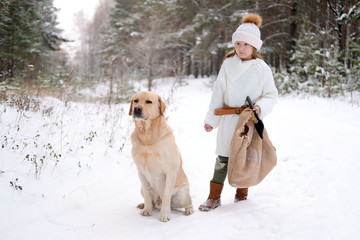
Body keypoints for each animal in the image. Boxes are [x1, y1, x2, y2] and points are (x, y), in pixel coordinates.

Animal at [128, 91, 193, 221]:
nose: (136, 109)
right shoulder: (141, 172)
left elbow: (167, 195)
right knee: (150, 198)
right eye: (136, 100)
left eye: (148, 101)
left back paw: (188, 210)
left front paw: (165, 214)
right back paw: (144, 205)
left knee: (188, 202)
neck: (147, 137)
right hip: (141, 188)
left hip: (182, 195)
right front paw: (146, 209)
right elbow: (147, 195)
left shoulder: (171, 170)